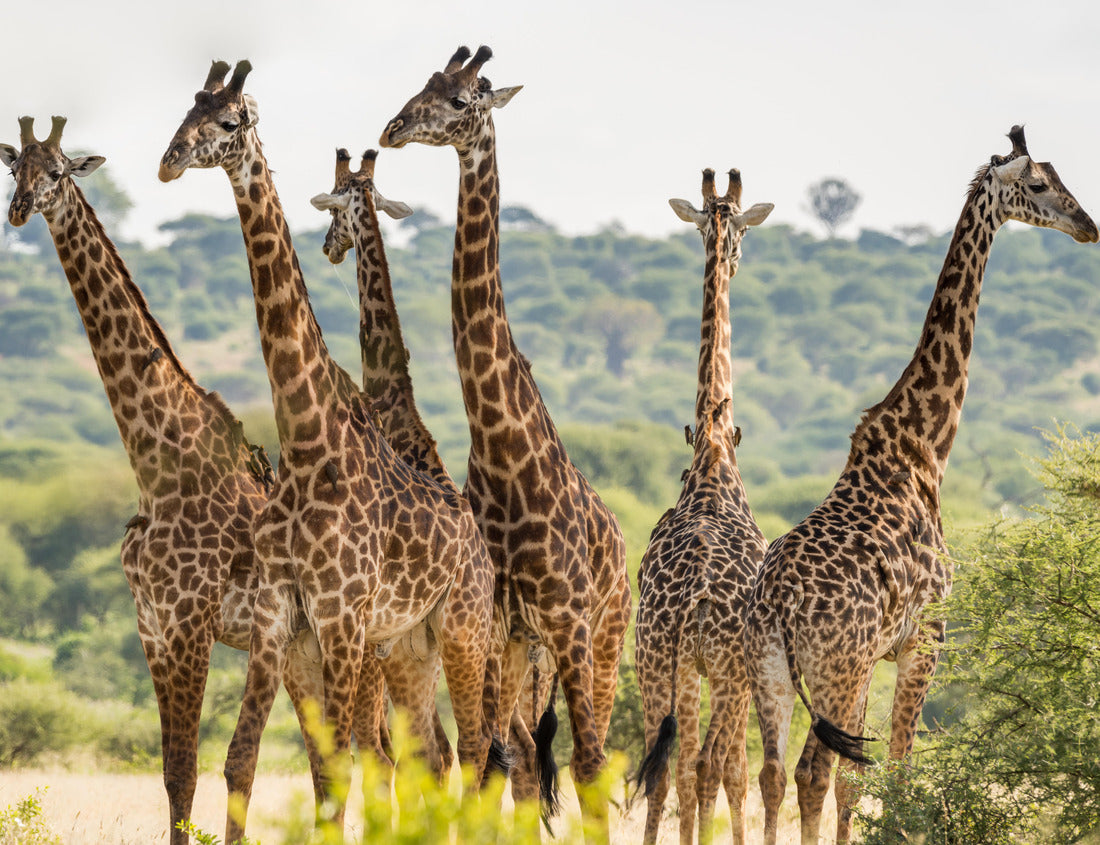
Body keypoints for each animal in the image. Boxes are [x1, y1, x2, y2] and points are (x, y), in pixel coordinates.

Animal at [0, 116, 391, 845]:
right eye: (15, 170)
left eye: (59, 171)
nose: (18, 210)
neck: (158, 465)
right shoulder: (152, 626)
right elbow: (175, 770)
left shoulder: (196, 623)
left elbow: (209, 765)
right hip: (303, 656)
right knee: (335, 761)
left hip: (351, 650)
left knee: (378, 756)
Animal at [158, 60, 498, 842]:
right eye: (186, 110)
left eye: (229, 122)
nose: (167, 162)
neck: (309, 440)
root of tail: (478, 542)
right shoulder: (280, 616)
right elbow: (245, 760)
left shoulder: (343, 617)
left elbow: (344, 767)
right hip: (411, 644)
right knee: (437, 754)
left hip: (461, 630)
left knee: (473, 751)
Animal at [380, 46, 633, 835]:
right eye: (424, 85)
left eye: (464, 100)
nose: (393, 128)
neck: (500, 449)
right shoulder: (496, 622)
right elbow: (490, 759)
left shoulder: (568, 620)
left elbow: (585, 764)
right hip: (525, 647)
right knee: (518, 753)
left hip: (604, 635)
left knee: (592, 754)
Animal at [743, 126, 1099, 845]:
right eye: (1039, 185)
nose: (1089, 226)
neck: (925, 448)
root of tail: (783, 606)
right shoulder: (924, 639)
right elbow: (897, 771)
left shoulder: (885, 653)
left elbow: (859, 778)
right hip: (837, 668)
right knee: (815, 771)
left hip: (771, 672)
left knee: (771, 773)